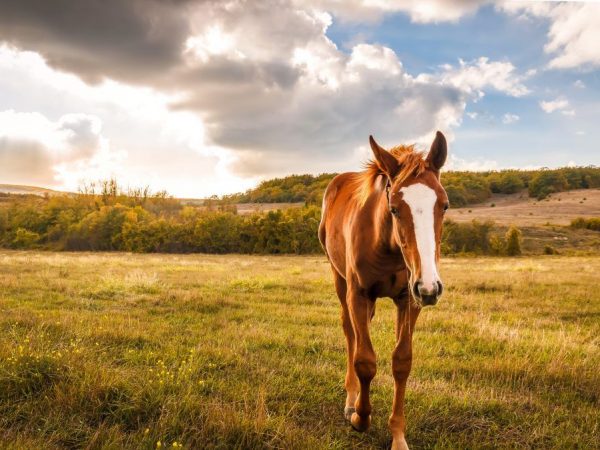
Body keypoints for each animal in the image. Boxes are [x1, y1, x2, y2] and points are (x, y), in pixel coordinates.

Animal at [322, 132, 448, 448]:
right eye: (394, 208)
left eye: (444, 205)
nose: (431, 287)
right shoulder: (358, 294)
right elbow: (365, 360)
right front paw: (360, 417)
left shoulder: (410, 299)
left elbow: (402, 362)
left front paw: (398, 436)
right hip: (340, 282)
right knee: (351, 334)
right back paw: (351, 399)